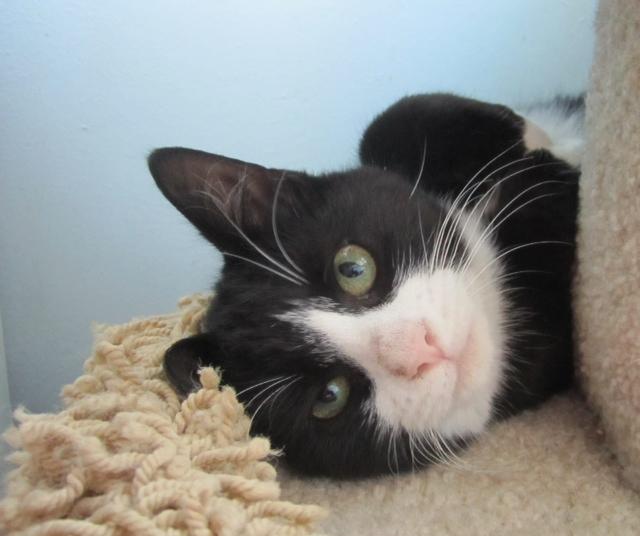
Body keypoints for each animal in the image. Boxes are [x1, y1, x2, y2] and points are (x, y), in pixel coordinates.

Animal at [148, 91, 584, 478]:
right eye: (329, 396)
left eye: (353, 269)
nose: (420, 348)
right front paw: (549, 169)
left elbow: (388, 127)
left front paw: (527, 129)